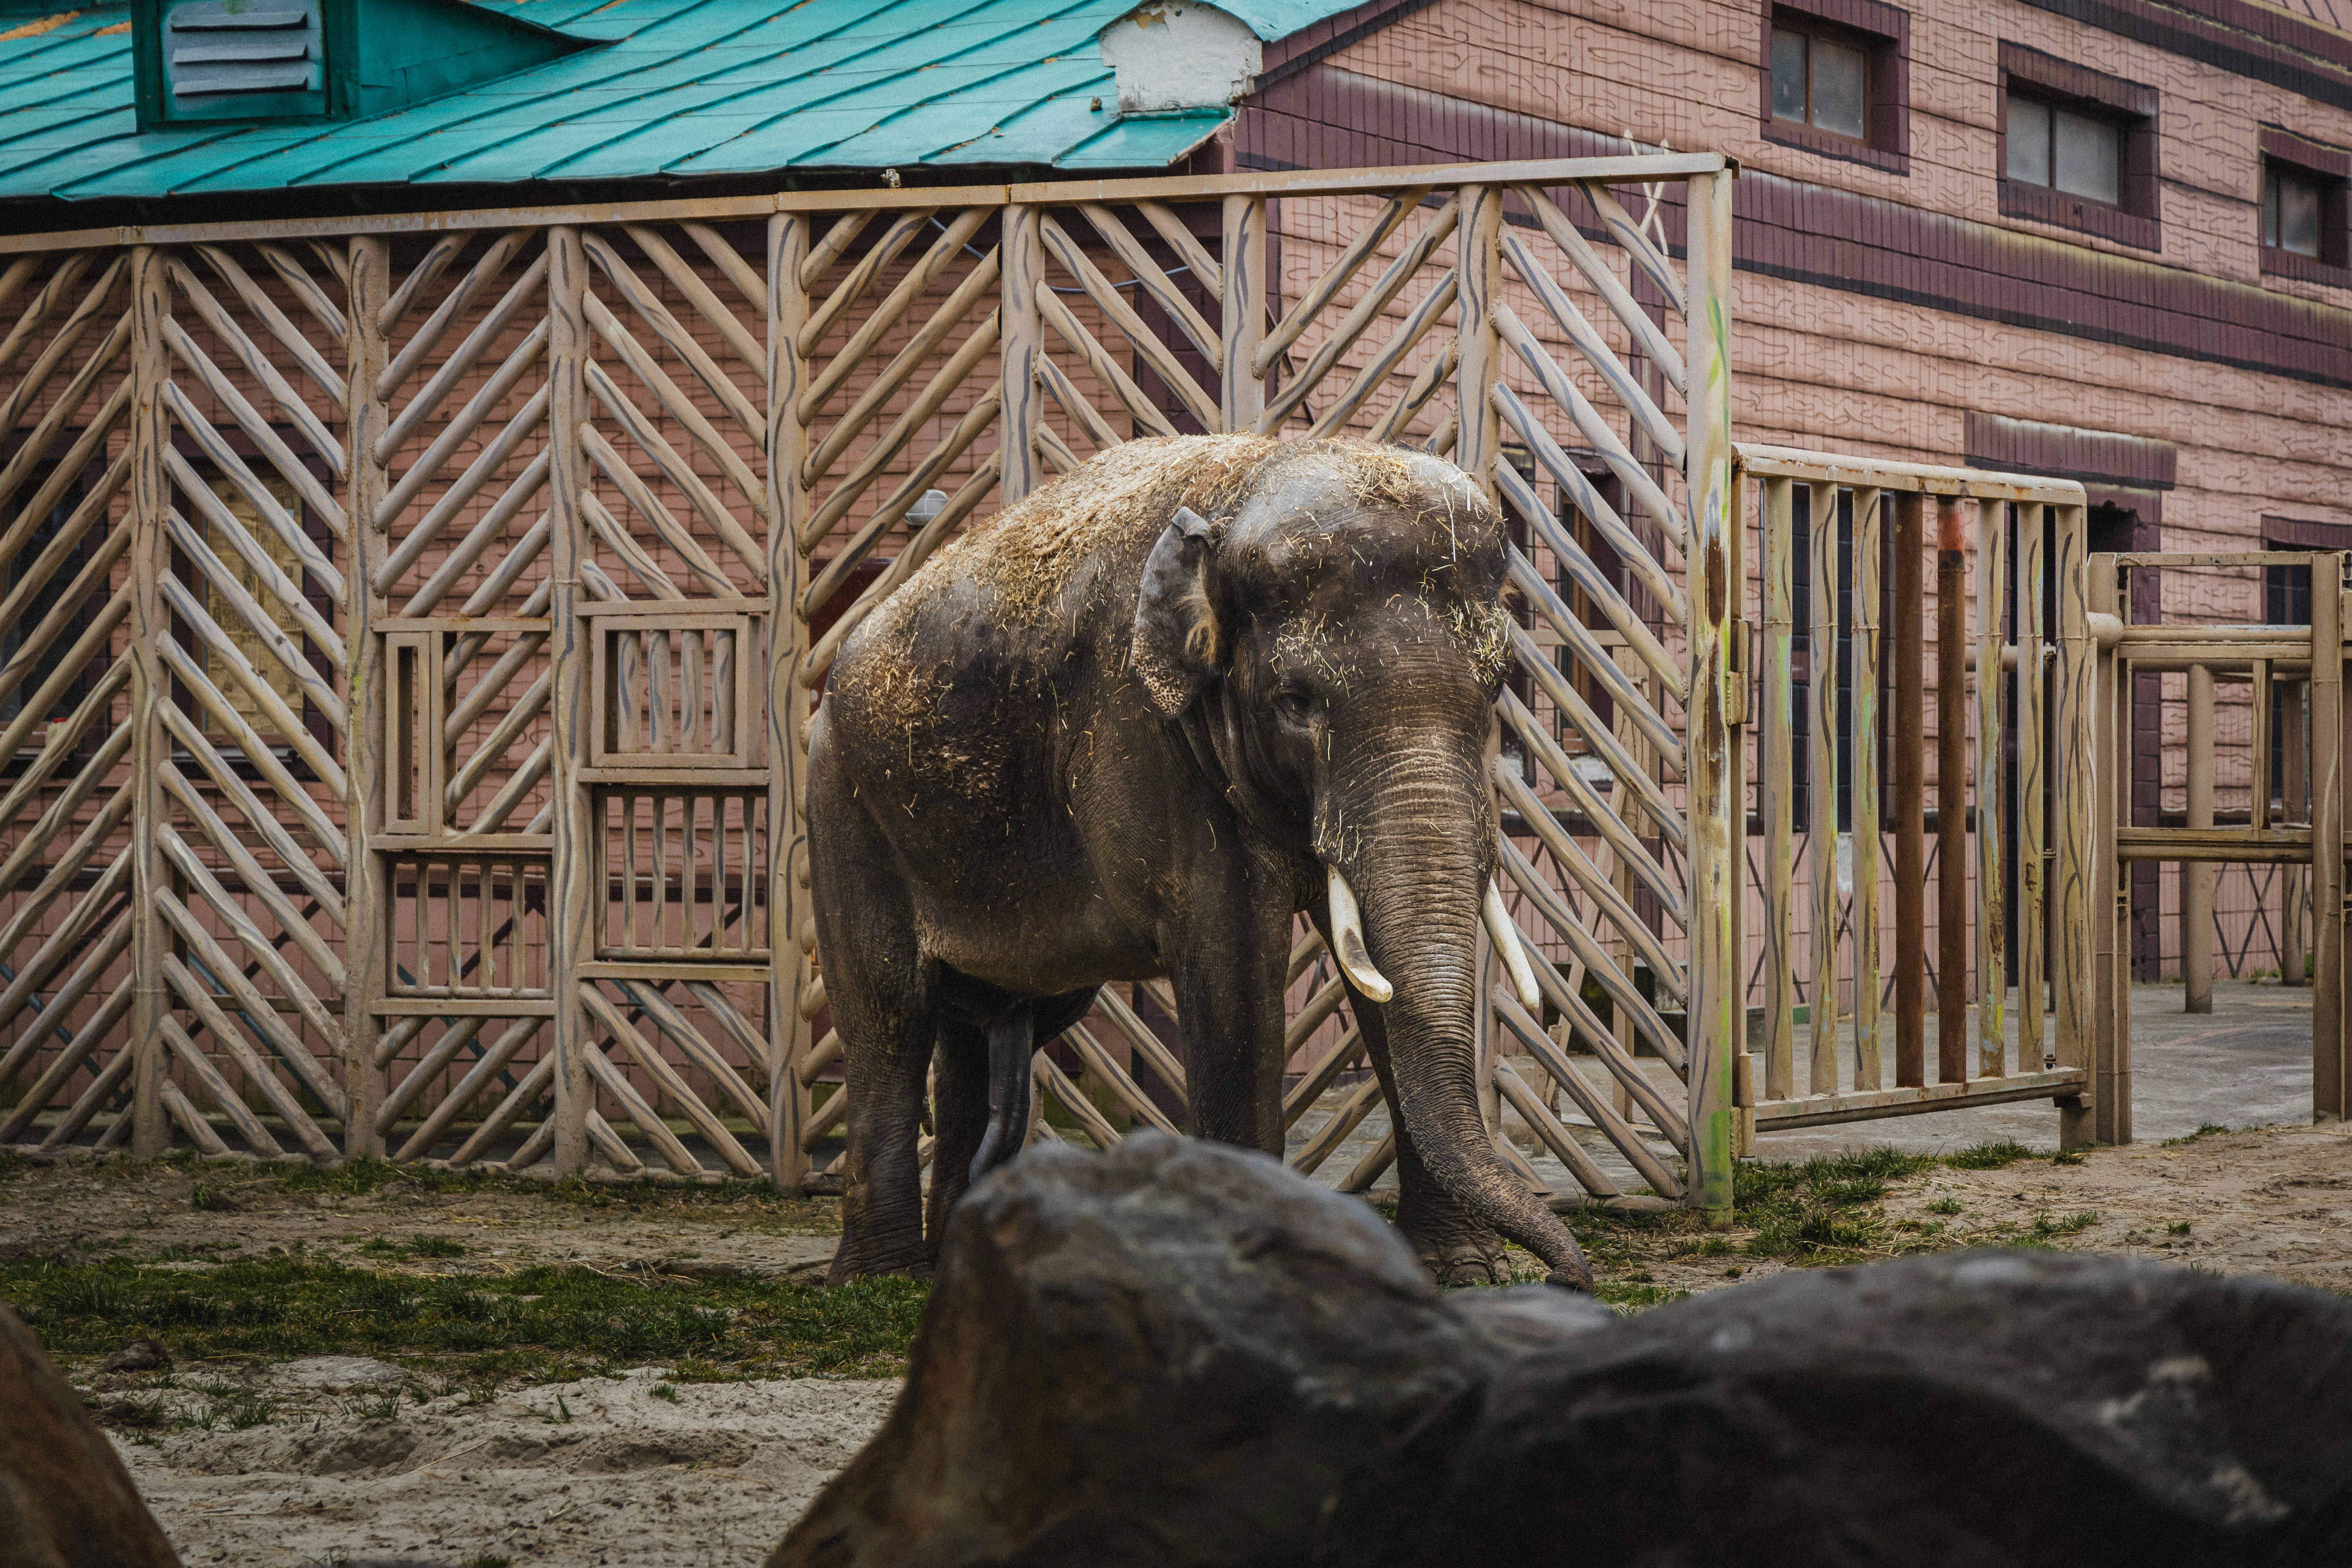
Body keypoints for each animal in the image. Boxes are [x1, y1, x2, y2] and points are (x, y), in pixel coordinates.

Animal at [808, 434, 1595, 1291]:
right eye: (1296, 701)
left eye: (1495, 687)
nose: (1566, 1278)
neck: (1245, 486)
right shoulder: (1146, 738)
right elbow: (1231, 961)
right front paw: (1252, 1265)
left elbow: (1377, 988)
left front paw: (1464, 1275)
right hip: (845, 810)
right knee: (886, 1018)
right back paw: (879, 1280)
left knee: (983, 1029)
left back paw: (960, 1258)